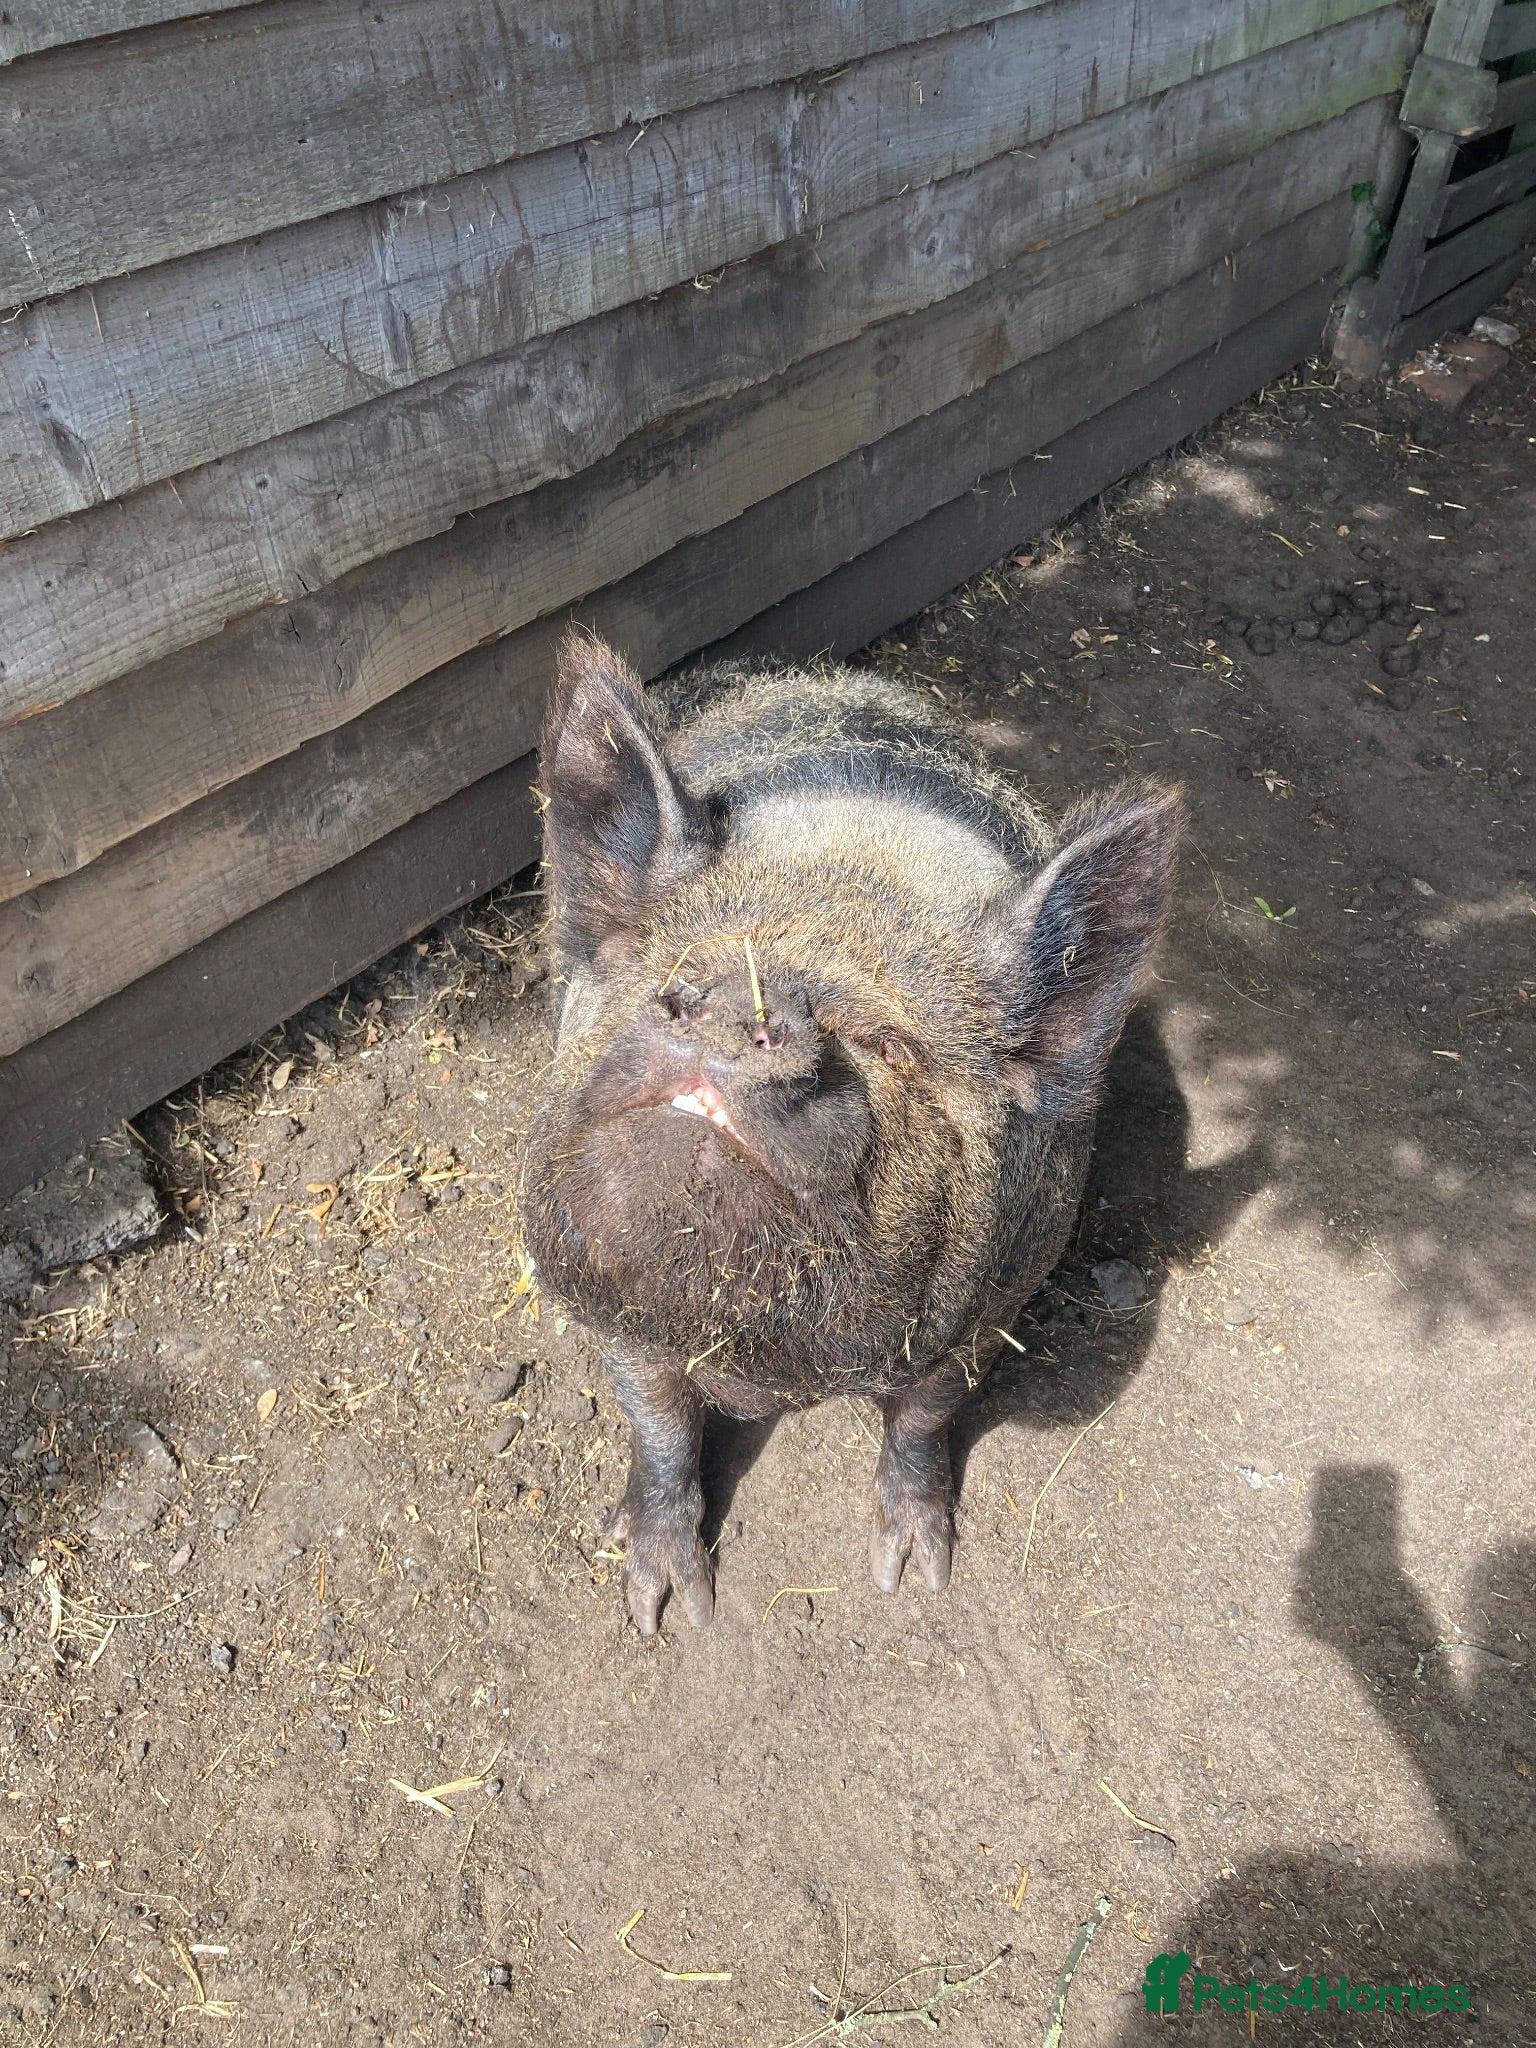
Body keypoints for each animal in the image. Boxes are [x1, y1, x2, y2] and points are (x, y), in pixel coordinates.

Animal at [519, 631, 1182, 1634]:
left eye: (887, 1043)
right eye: (676, 974)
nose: (737, 1006)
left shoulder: (996, 1301)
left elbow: (924, 1417)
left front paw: (913, 1573)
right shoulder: (620, 1315)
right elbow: (660, 1423)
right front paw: (668, 1611)